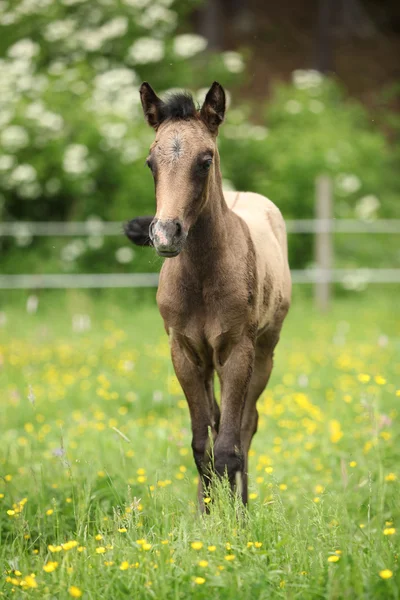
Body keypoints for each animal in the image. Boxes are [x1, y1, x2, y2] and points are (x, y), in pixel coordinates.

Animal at [126, 82, 292, 506]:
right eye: (150, 163)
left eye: (205, 161)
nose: (165, 234)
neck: (202, 279)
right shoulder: (184, 352)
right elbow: (202, 445)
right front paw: (205, 516)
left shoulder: (237, 351)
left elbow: (231, 447)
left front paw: (234, 519)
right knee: (217, 425)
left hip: (264, 351)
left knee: (247, 427)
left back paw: (244, 506)